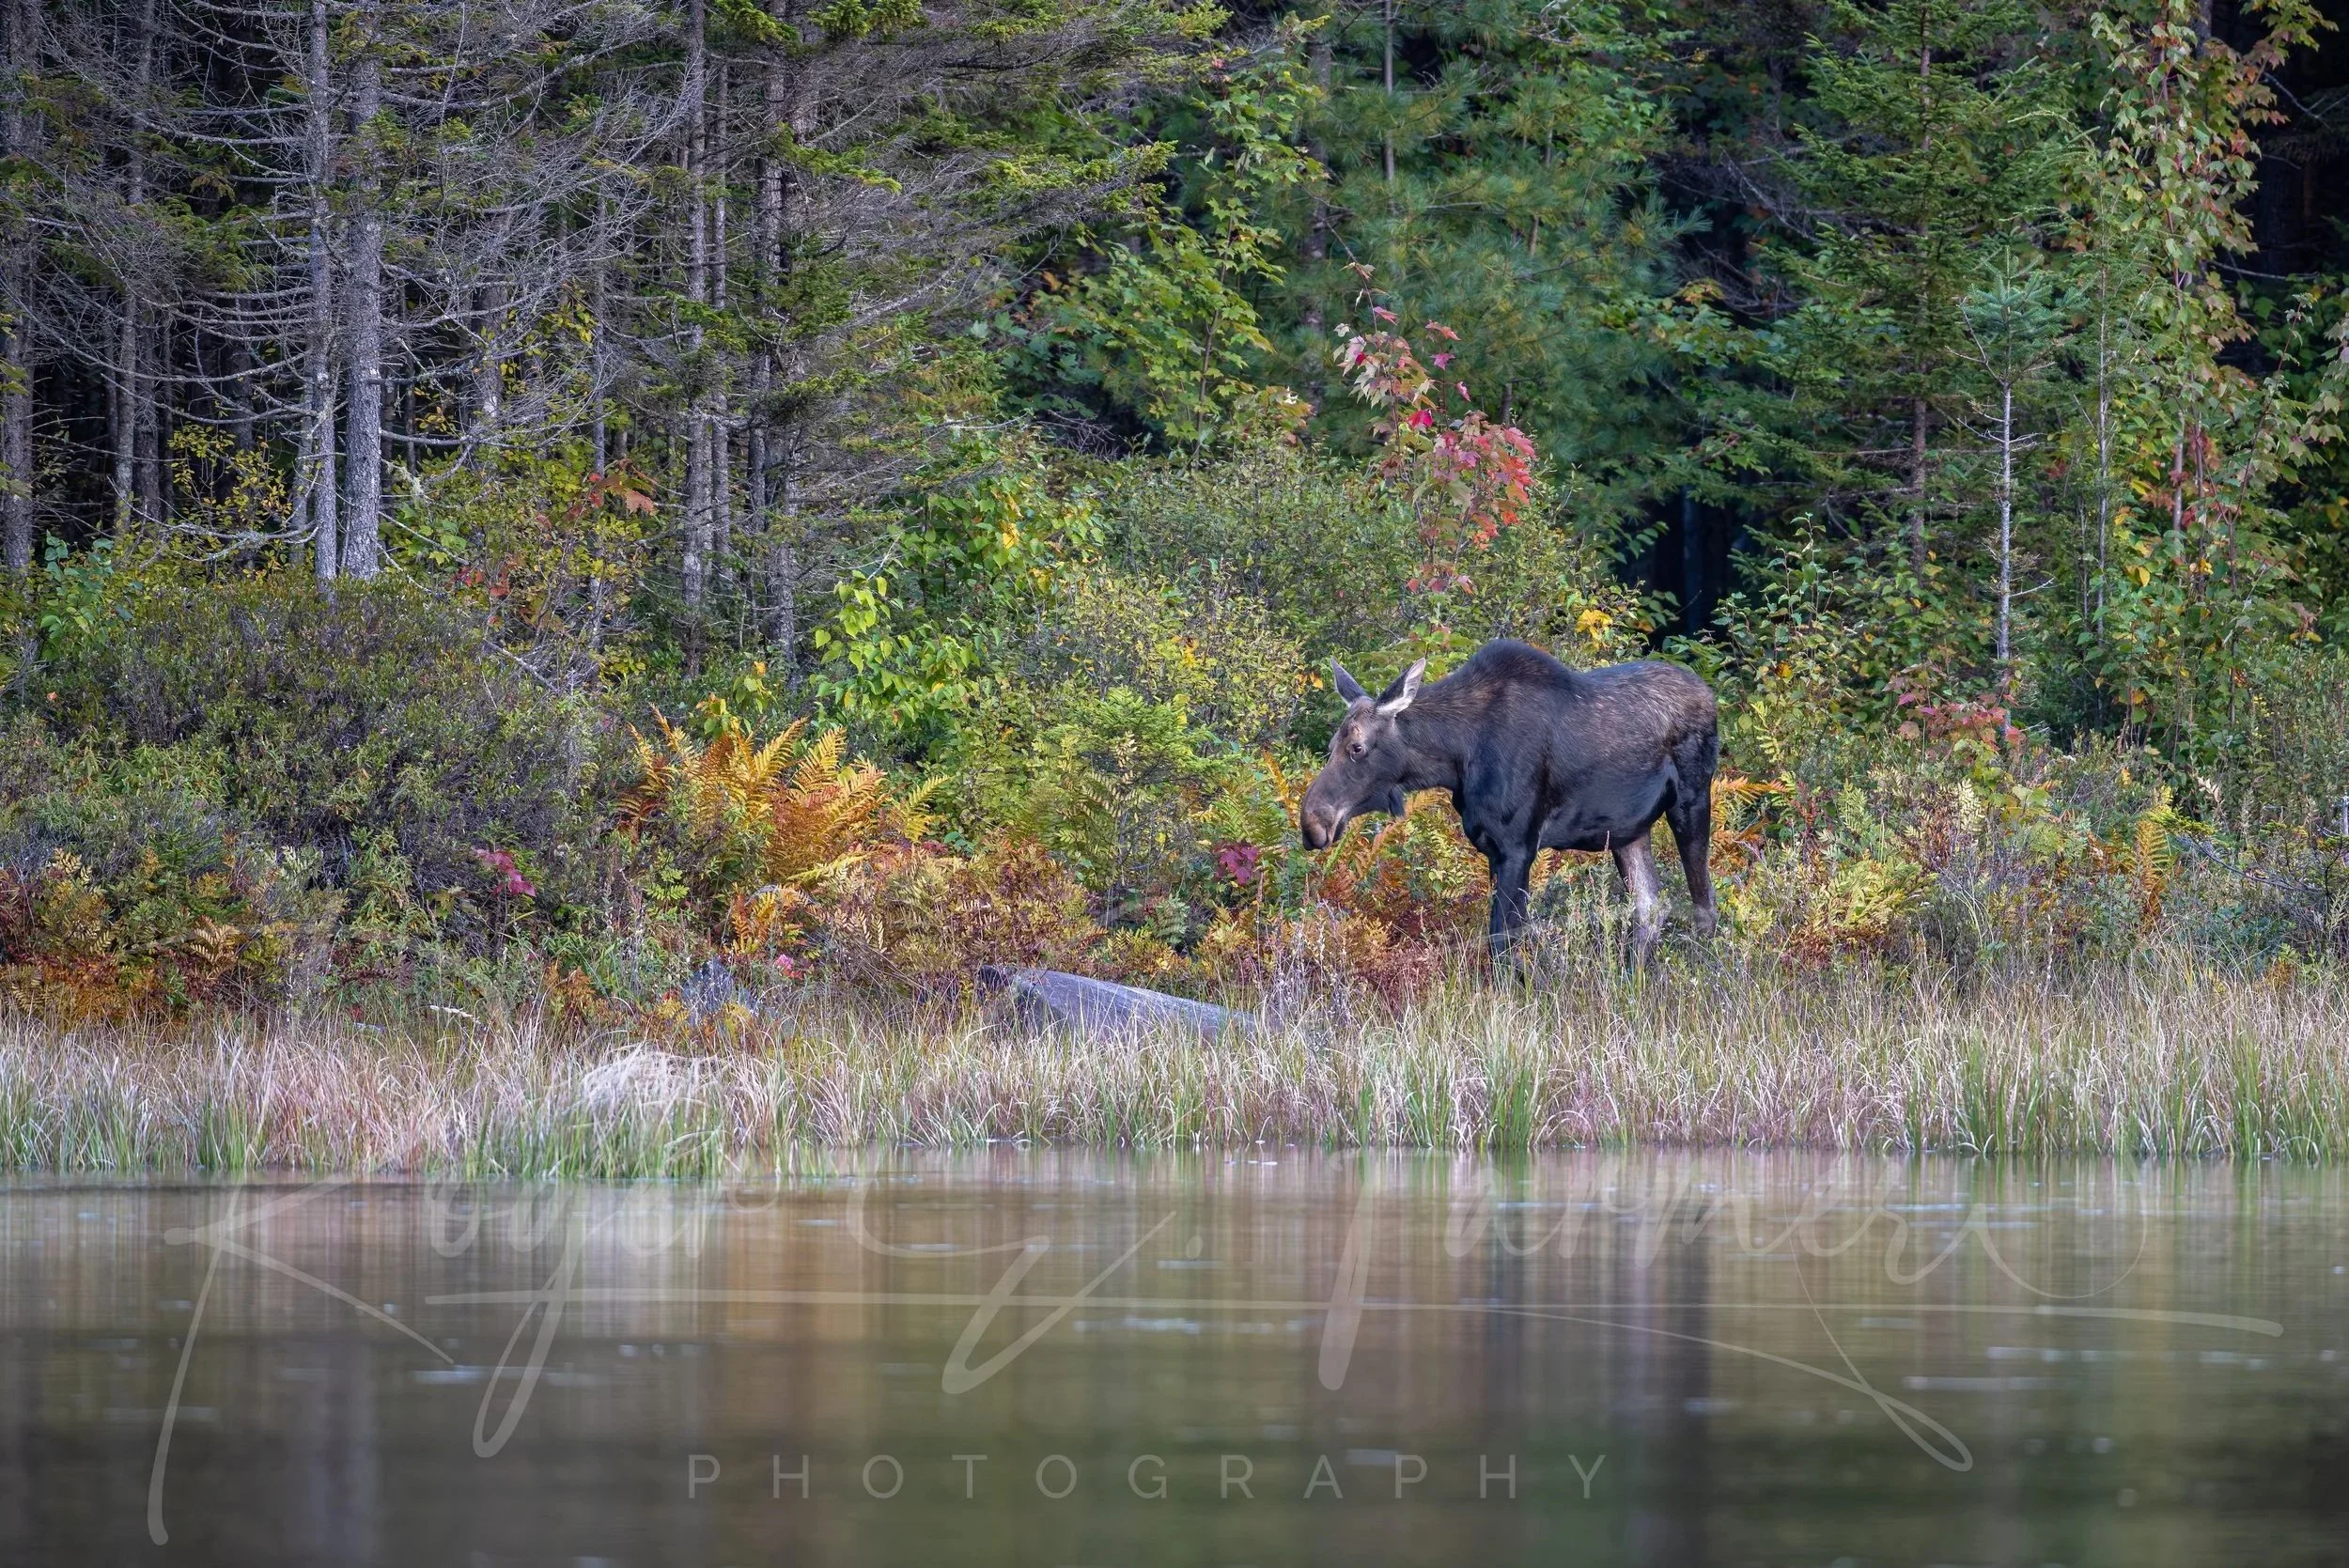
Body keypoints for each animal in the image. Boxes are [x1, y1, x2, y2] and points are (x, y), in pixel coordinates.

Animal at [1298, 639, 1719, 965]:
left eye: (1357, 747)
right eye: (1331, 746)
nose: (1313, 823)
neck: (1457, 756)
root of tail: (1708, 693)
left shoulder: (1519, 846)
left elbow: (1503, 941)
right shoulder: (1492, 848)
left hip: (1692, 801)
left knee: (1704, 904)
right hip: (1628, 830)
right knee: (1650, 906)